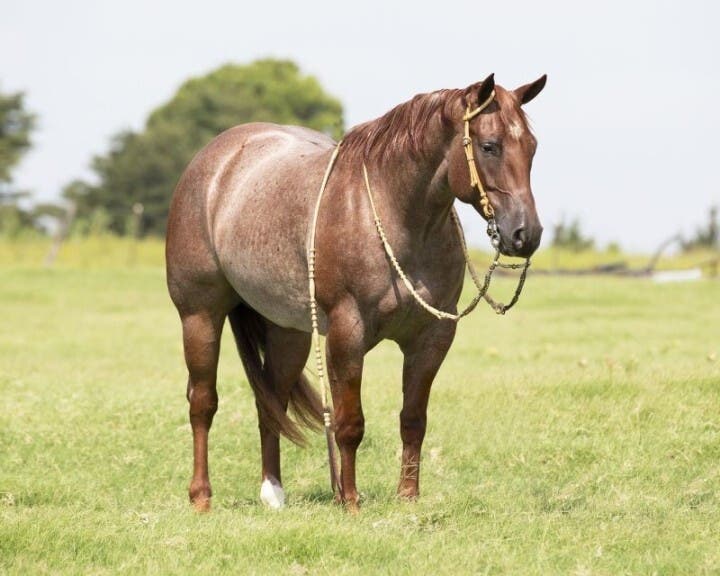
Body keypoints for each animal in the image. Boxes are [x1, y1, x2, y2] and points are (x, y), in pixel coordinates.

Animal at [166, 73, 546, 512]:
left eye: (532, 147)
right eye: (489, 146)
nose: (526, 234)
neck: (392, 211)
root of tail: (213, 162)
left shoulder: (432, 337)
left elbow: (413, 420)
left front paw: (408, 497)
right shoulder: (348, 333)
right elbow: (350, 423)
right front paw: (349, 500)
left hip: (289, 332)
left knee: (271, 403)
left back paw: (273, 493)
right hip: (200, 316)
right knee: (202, 401)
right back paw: (201, 496)